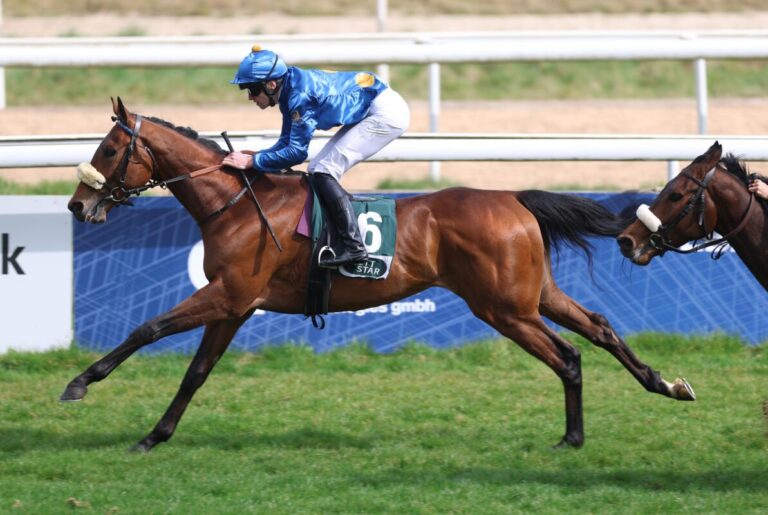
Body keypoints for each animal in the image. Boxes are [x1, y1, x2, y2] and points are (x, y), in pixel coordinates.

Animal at [62, 98, 694, 453]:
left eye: (111, 147)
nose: (76, 204)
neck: (236, 204)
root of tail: (512, 196)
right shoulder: (235, 305)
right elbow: (195, 373)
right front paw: (154, 436)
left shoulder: (228, 295)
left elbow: (147, 329)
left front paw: (80, 383)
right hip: (534, 293)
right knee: (600, 328)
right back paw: (663, 384)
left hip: (503, 307)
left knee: (567, 356)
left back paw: (573, 437)